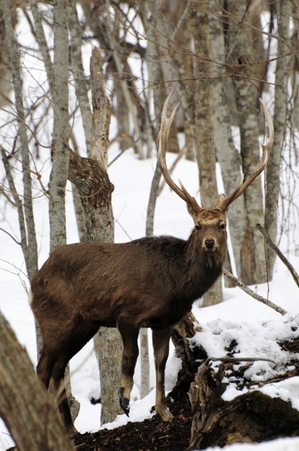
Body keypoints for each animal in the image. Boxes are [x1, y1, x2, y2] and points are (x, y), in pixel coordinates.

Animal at [29, 95, 274, 438]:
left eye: (222, 225)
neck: (176, 284)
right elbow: (131, 357)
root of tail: (35, 279)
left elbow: (159, 363)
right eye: (198, 226)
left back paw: (71, 431)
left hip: (83, 324)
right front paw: (124, 398)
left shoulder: (164, 321)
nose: (210, 243)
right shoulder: (127, 314)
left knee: (58, 369)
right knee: (43, 368)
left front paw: (164, 412)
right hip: (55, 318)